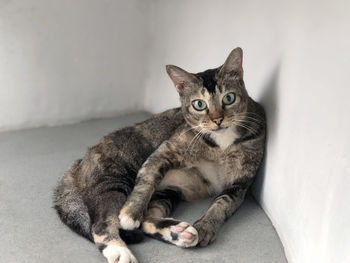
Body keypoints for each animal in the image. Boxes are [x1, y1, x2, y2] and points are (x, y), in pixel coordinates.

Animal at [53, 48, 266, 263]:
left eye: (229, 98)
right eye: (199, 104)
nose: (217, 120)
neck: (221, 145)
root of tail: (78, 163)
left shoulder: (240, 184)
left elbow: (222, 204)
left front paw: (206, 226)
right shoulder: (164, 152)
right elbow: (146, 182)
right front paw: (130, 214)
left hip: (170, 191)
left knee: (147, 219)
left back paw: (179, 233)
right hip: (113, 180)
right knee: (101, 224)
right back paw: (121, 252)